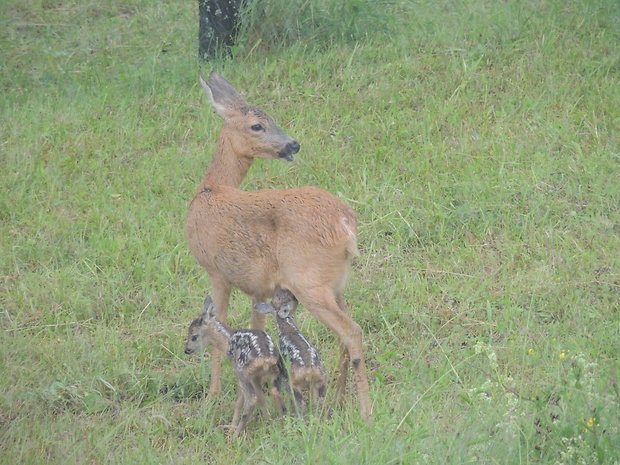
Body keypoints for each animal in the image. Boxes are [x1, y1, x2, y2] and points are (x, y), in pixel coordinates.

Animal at [182, 71, 370, 416]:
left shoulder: (216, 272)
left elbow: (218, 326)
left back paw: (365, 410)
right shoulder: (258, 288)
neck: (211, 189)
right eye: (258, 124)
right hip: (336, 282)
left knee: (351, 330)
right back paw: (338, 397)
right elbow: (256, 325)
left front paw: (214, 396)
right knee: (344, 333)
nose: (293, 143)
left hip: (308, 281)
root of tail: (346, 224)